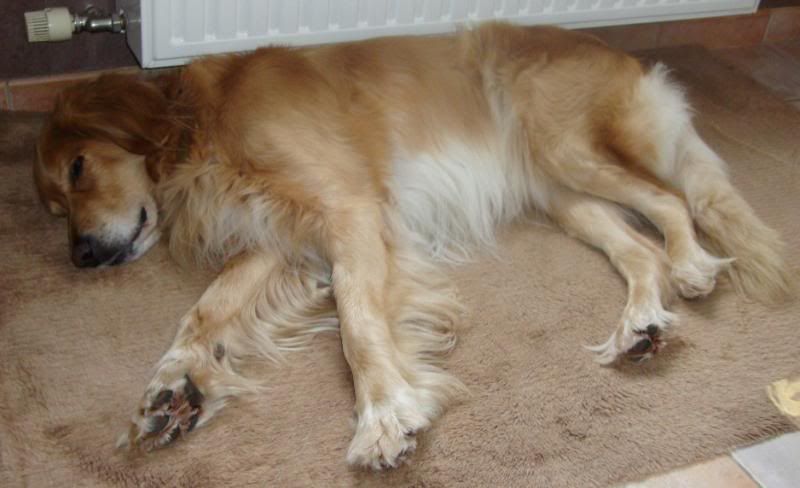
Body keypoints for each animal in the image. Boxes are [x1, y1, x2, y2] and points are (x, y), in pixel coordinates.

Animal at [33, 22, 790, 469]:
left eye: (78, 169)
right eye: (52, 208)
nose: (82, 257)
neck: (199, 125)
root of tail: (628, 58)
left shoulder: (349, 210)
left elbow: (359, 324)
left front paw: (384, 412)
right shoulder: (278, 237)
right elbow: (205, 311)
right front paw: (171, 388)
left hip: (565, 148)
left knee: (673, 204)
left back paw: (691, 266)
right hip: (561, 194)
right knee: (639, 249)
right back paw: (641, 326)